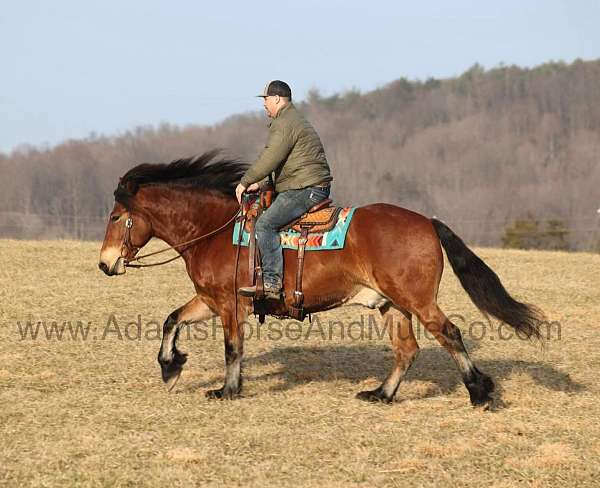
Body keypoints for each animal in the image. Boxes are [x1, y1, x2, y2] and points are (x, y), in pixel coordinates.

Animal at [101, 151, 548, 406]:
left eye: (116, 216)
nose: (105, 264)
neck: (214, 229)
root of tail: (427, 222)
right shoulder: (210, 300)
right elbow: (171, 320)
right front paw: (171, 367)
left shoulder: (229, 304)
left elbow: (232, 348)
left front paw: (227, 390)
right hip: (392, 305)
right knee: (407, 350)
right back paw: (381, 394)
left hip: (417, 300)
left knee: (450, 334)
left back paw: (480, 393)